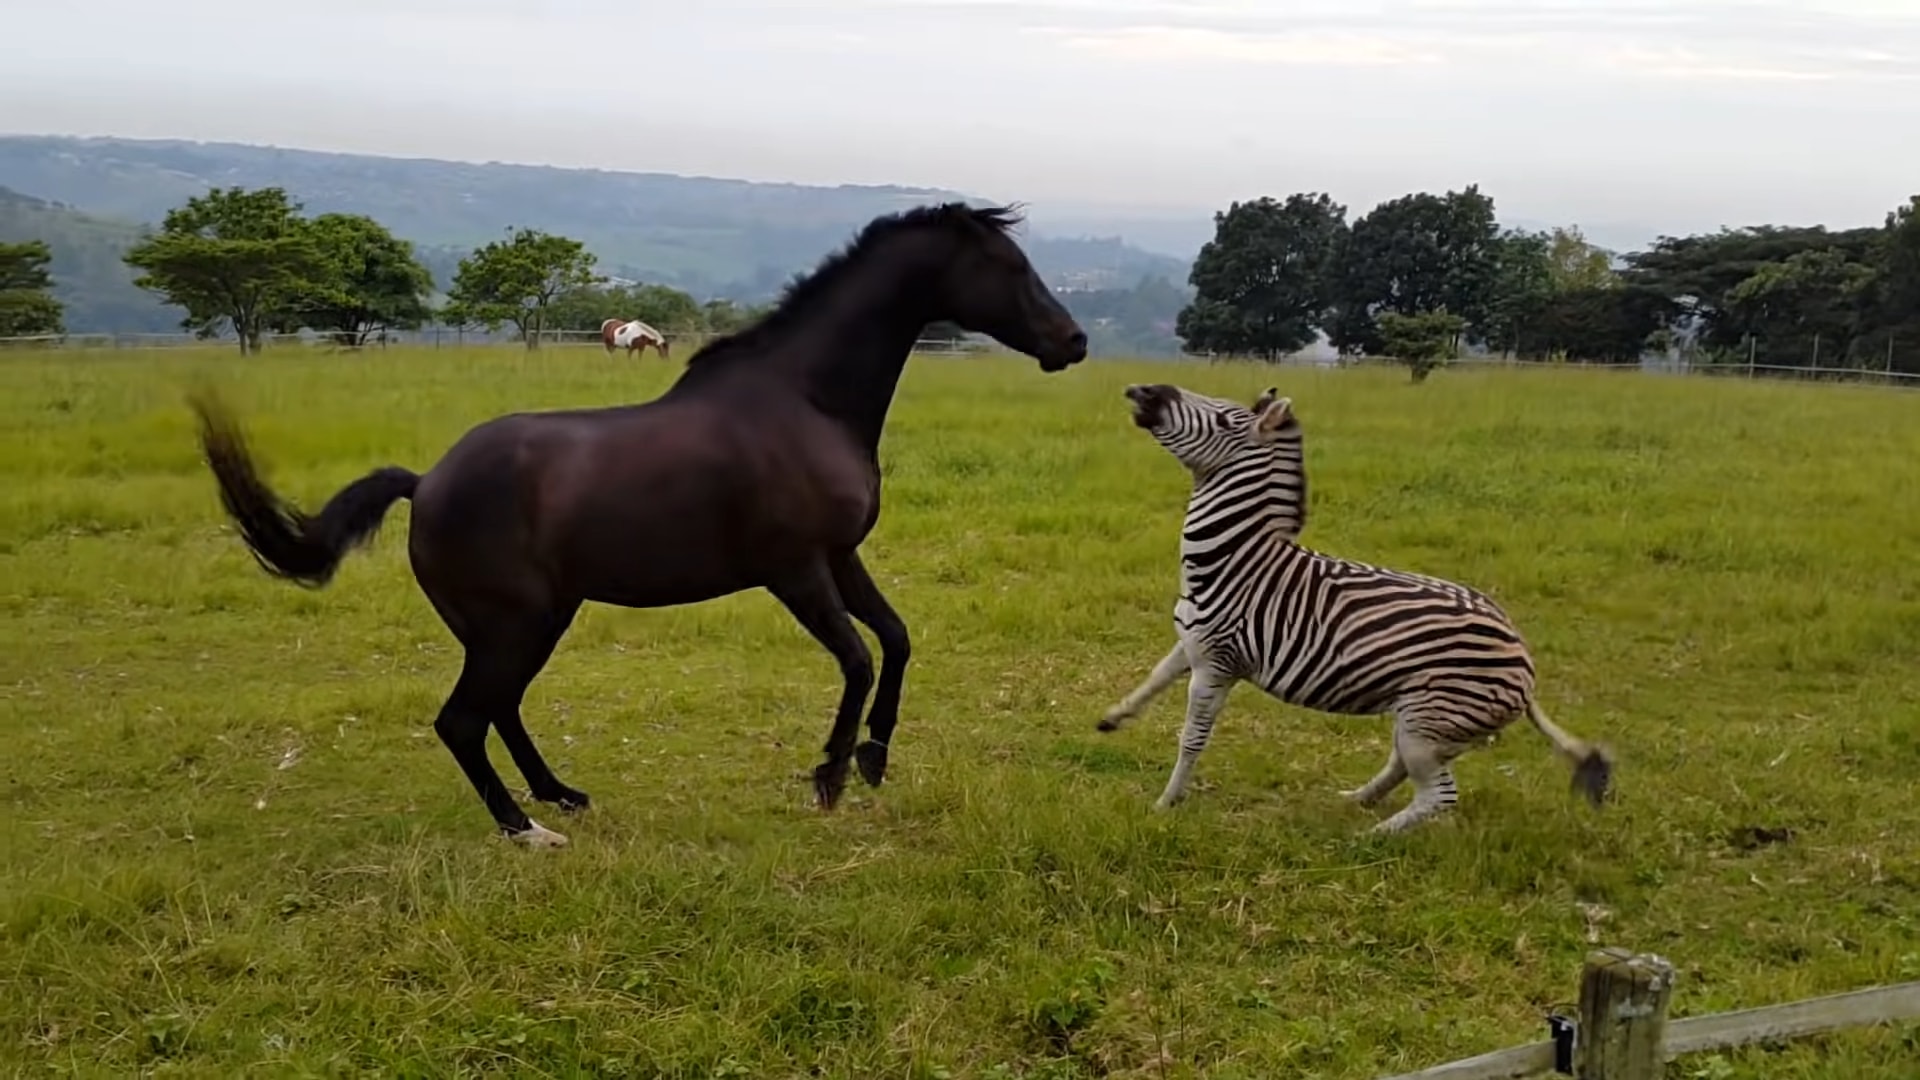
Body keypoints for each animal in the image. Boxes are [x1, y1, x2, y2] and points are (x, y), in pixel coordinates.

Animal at [204, 201, 1098, 841]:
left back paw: (560, 795)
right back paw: (524, 828)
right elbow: (856, 659)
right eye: (1009, 266)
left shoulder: (841, 557)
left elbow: (898, 641)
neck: (805, 400)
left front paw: (874, 759)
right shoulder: (796, 571)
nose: (1075, 340)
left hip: (530, 622)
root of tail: (426, 484)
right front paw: (830, 778)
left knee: (498, 711)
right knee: (462, 720)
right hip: (514, 625)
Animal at [1098, 382, 1605, 826]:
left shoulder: (1217, 665)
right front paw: (1112, 718)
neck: (1234, 561)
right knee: (1405, 769)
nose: (1143, 390)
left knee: (1439, 795)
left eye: (1223, 418)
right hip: (1428, 722)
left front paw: (1166, 802)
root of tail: (1523, 658)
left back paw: (1368, 841)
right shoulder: (1191, 644)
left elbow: (1192, 740)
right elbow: (1152, 679)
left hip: (1432, 719)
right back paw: (1356, 801)